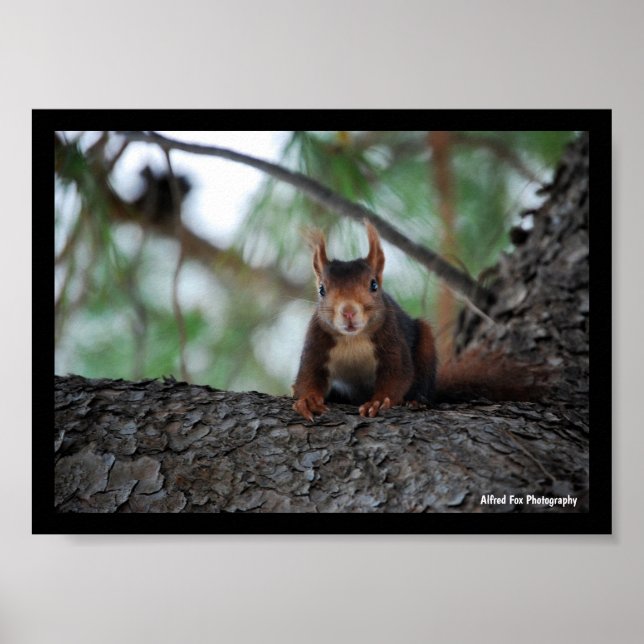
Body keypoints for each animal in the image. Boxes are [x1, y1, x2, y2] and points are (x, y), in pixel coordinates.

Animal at [292, 220, 545, 422]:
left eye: (373, 285)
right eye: (322, 289)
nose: (348, 312)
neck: (353, 339)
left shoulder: (392, 339)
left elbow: (398, 374)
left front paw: (378, 402)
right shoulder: (316, 341)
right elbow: (308, 375)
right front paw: (308, 400)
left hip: (425, 346)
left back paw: (417, 401)